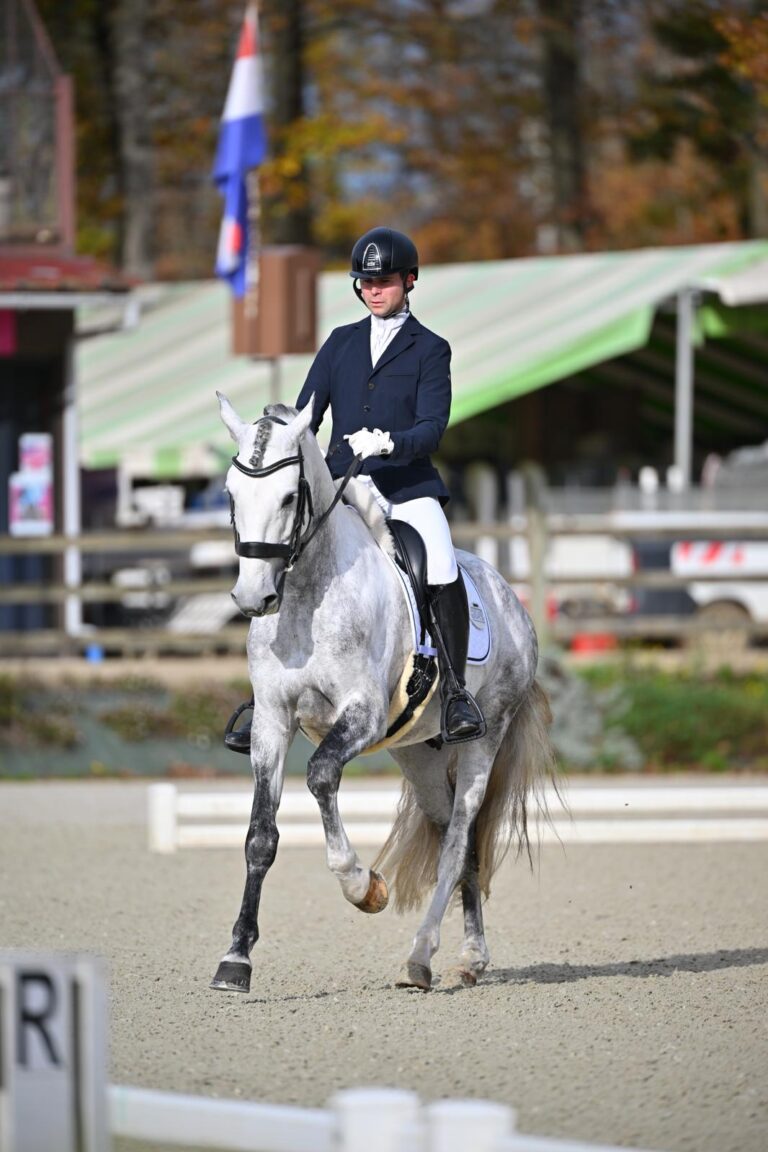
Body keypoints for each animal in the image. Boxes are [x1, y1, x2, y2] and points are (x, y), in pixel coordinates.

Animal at [211, 392, 557, 994]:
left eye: (287, 496)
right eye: (232, 494)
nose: (253, 597)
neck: (308, 596)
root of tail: (509, 595)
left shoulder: (363, 716)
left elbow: (321, 776)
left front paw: (362, 886)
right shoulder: (272, 721)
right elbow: (260, 837)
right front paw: (236, 959)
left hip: (483, 737)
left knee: (459, 839)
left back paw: (423, 955)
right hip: (417, 753)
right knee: (456, 841)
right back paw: (468, 959)